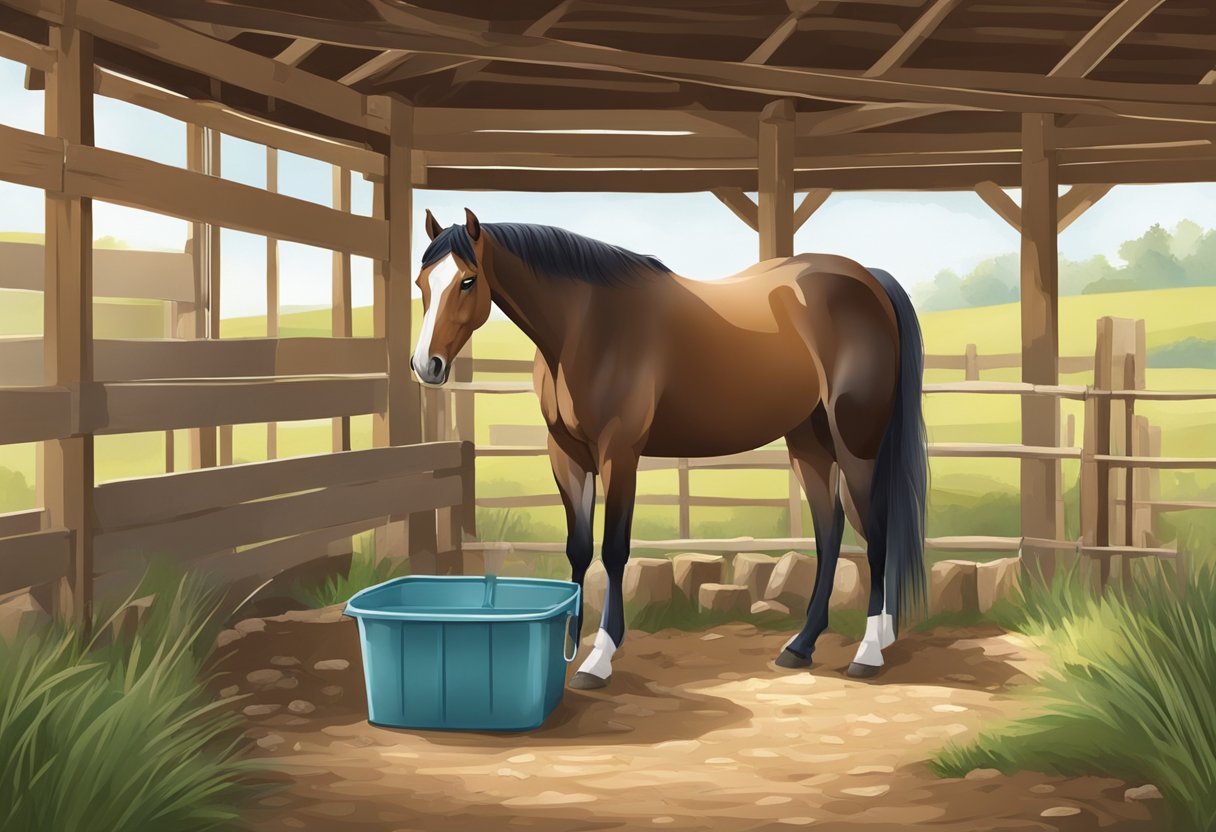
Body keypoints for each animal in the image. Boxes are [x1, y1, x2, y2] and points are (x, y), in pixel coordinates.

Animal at [413, 208, 924, 690]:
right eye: (422, 283)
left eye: (467, 280)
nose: (425, 365)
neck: (588, 325)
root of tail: (867, 278)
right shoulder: (567, 454)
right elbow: (578, 548)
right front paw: (567, 646)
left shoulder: (619, 452)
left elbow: (613, 550)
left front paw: (599, 658)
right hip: (808, 439)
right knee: (830, 530)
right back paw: (803, 646)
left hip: (855, 441)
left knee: (875, 531)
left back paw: (869, 651)